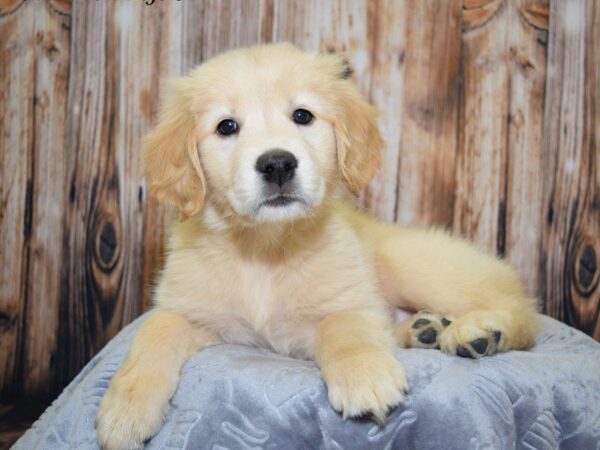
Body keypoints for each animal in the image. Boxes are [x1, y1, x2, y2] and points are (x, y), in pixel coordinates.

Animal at [95, 43, 540, 450]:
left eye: (302, 116)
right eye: (226, 126)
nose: (277, 163)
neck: (265, 249)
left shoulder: (347, 300)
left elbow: (346, 329)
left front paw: (364, 375)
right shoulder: (191, 311)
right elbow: (154, 333)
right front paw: (124, 409)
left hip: (413, 264)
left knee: (523, 311)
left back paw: (481, 331)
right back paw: (426, 329)